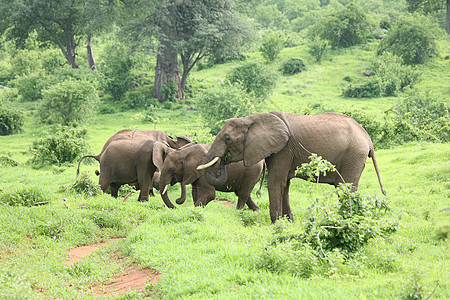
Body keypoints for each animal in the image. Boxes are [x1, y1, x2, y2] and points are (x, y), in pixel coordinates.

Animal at [197, 110, 386, 223]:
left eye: (227, 138)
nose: (224, 159)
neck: (253, 118)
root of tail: (367, 137)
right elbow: (284, 184)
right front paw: (289, 222)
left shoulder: (283, 149)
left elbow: (275, 182)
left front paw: (275, 223)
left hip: (353, 155)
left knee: (345, 188)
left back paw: (346, 220)